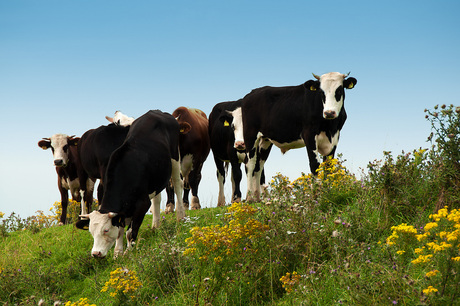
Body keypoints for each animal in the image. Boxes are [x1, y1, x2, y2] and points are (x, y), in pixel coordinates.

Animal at [77, 110, 187, 258]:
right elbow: (120, 231)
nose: (95, 253)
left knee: (177, 184)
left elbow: (129, 232)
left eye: (106, 230)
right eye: (91, 231)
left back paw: (181, 216)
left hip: (175, 157)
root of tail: (157, 112)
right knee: (157, 197)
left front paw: (129, 252)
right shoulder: (123, 210)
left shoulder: (142, 204)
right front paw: (118, 253)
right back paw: (156, 225)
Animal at [235, 71, 358, 201]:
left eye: (339, 90)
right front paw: (318, 196)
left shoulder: (335, 137)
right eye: (321, 92)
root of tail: (251, 93)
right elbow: (315, 165)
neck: (329, 126)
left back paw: (258, 198)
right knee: (250, 164)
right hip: (250, 135)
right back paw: (250, 198)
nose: (329, 113)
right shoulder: (309, 135)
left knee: (259, 166)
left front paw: (328, 193)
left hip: (265, 140)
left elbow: (328, 167)